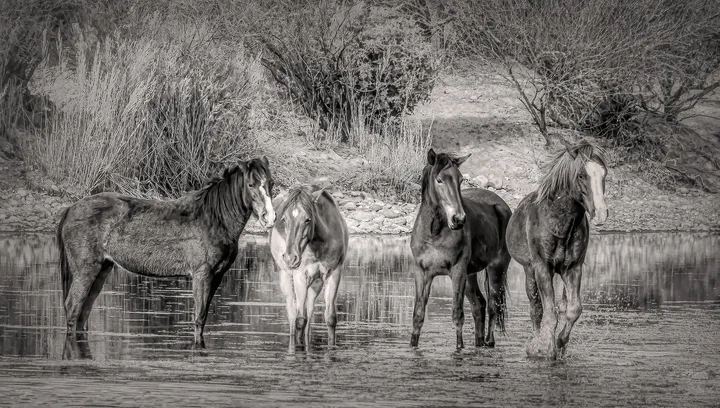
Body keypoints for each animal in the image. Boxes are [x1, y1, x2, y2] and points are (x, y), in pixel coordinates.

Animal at [57, 157, 276, 347]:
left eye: (271, 183)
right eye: (250, 185)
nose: (269, 217)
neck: (214, 218)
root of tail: (71, 209)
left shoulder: (217, 276)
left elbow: (203, 317)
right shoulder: (202, 274)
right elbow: (199, 318)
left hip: (102, 269)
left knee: (83, 312)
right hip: (85, 270)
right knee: (73, 307)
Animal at [270, 186, 348, 349]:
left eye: (307, 219)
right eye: (284, 219)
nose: (290, 258)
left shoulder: (334, 273)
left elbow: (330, 318)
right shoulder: (300, 275)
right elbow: (300, 320)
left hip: (315, 284)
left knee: (310, 310)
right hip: (285, 277)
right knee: (292, 313)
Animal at [410, 148, 512, 349]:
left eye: (460, 180)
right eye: (439, 180)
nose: (458, 219)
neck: (434, 233)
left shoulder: (457, 271)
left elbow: (457, 315)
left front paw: (460, 348)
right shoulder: (422, 272)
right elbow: (418, 314)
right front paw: (412, 345)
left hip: (497, 268)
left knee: (493, 304)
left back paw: (489, 341)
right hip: (470, 275)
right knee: (479, 305)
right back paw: (479, 342)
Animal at [506, 139, 609, 360]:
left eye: (604, 174)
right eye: (581, 175)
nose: (601, 213)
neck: (560, 221)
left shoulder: (573, 269)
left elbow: (573, 310)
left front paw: (560, 343)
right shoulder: (542, 268)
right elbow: (548, 313)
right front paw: (546, 348)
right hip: (530, 271)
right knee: (536, 309)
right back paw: (534, 343)